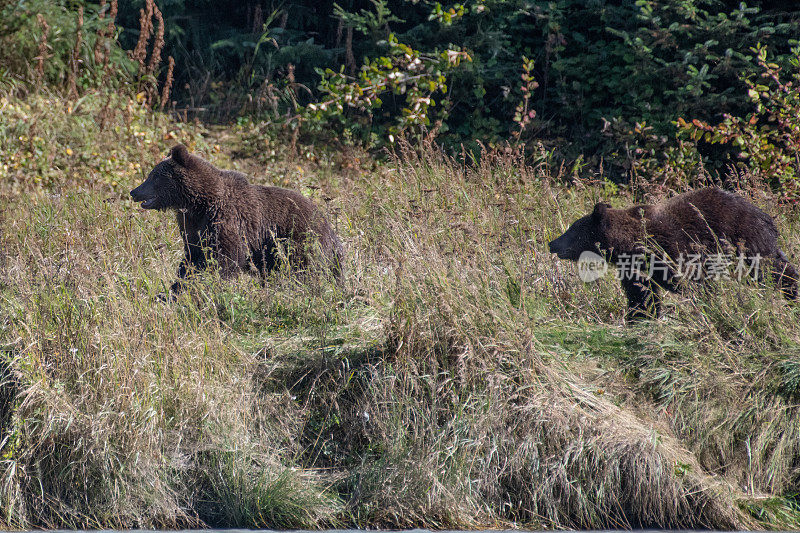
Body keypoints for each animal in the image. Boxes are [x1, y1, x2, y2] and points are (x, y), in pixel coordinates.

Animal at [131, 143, 344, 298]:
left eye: (153, 176)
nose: (134, 191)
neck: (197, 202)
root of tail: (329, 227)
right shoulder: (192, 226)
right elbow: (192, 257)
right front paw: (172, 290)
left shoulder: (226, 219)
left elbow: (226, 257)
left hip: (300, 237)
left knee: (304, 268)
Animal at [548, 187, 796, 320]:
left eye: (572, 229)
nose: (552, 243)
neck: (630, 243)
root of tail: (767, 216)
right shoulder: (635, 267)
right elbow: (642, 294)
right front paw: (640, 317)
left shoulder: (674, 248)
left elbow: (693, 282)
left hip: (744, 238)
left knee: (772, 269)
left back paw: (792, 292)